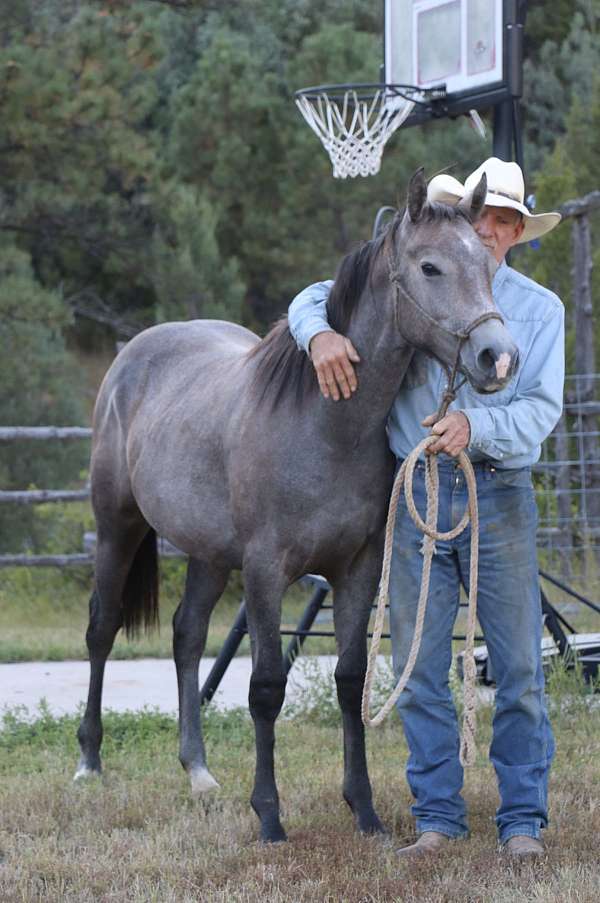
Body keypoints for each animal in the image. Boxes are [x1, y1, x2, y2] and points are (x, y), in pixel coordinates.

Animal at [74, 171, 516, 848]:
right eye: (431, 267)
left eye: (488, 267)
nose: (497, 357)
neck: (324, 423)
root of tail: (134, 352)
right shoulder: (265, 571)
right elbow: (264, 688)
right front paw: (269, 817)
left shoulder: (357, 570)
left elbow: (351, 682)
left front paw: (364, 812)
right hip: (117, 527)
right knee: (102, 629)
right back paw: (90, 762)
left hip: (208, 555)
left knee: (186, 635)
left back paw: (198, 772)